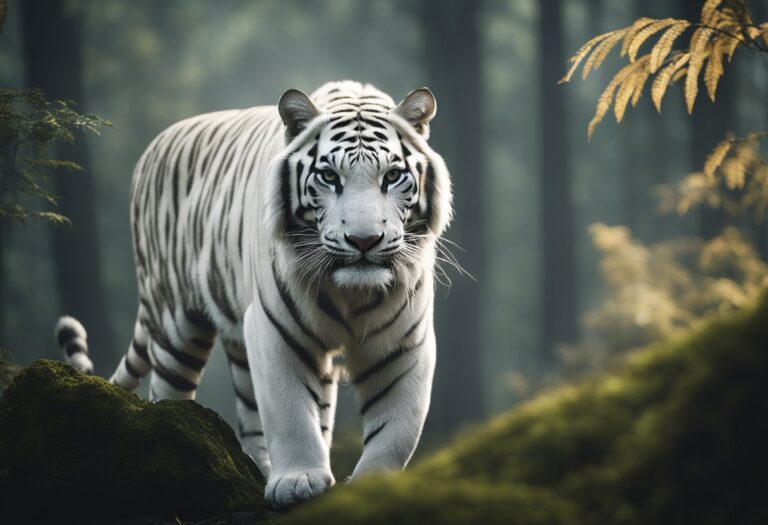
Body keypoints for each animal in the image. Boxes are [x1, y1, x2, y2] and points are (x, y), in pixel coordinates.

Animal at [55, 80, 452, 508]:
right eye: (329, 177)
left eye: (392, 176)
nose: (364, 240)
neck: (351, 294)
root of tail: (154, 145)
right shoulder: (275, 329)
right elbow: (289, 410)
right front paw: (297, 480)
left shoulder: (404, 341)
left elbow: (396, 430)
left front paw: (373, 487)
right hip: (176, 323)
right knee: (168, 390)